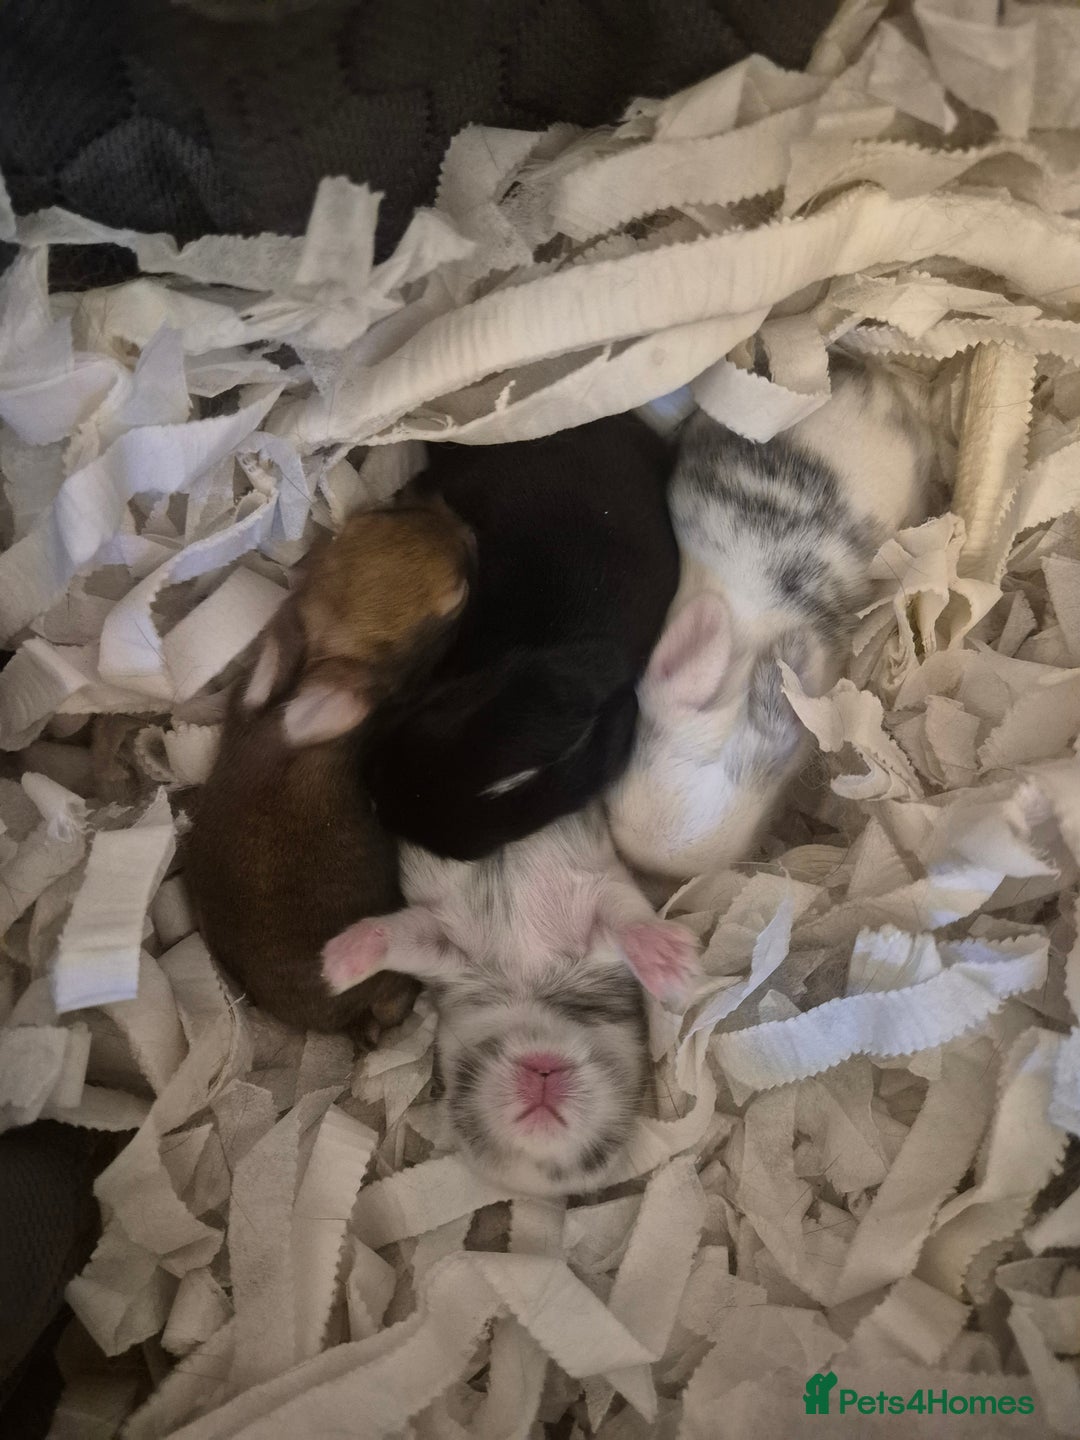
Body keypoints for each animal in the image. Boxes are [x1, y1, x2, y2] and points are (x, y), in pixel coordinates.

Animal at [321, 808, 700, 1196]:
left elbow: (629, 921)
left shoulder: (603, 907)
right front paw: (337, 964)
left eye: (599, 1156)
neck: (532, 995)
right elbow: (404, 939)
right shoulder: (447, 948)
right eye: (467, 1127)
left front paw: (671, 964)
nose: (542, 1095)